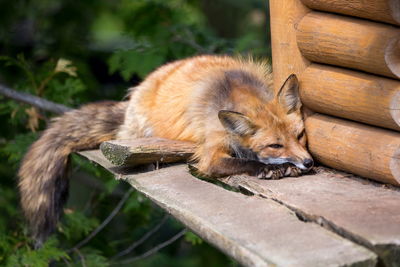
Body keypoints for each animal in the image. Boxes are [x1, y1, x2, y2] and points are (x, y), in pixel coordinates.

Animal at [18, 54, 312, 247]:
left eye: (300, 136)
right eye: (275, 145)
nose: (309, 163)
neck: (232, 91)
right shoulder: (210, 155)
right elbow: (243, 162)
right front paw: (271, 168)